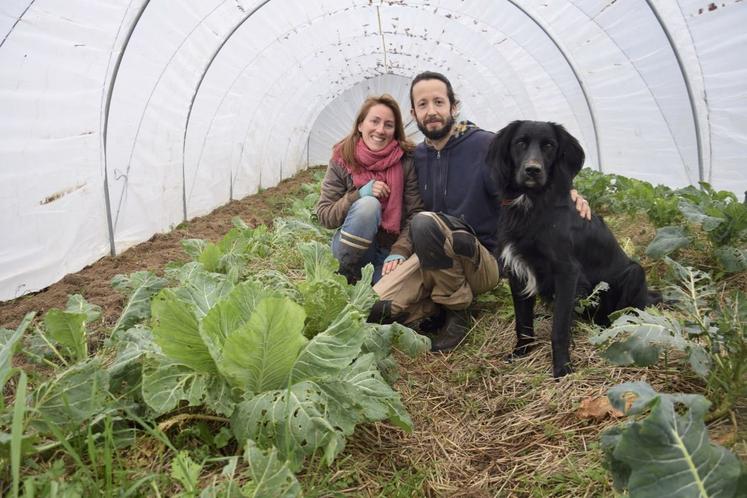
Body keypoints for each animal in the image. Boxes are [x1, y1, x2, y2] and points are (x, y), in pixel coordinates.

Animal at [490, 120, 660, 378]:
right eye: (520, 143)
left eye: (549, 146)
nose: (532, 170)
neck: (532, 204)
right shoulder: (517, 271)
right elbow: (522, 321)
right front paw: (521, 352)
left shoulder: (567, 272)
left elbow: (559, 328)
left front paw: (562, 367)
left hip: (635, 272)